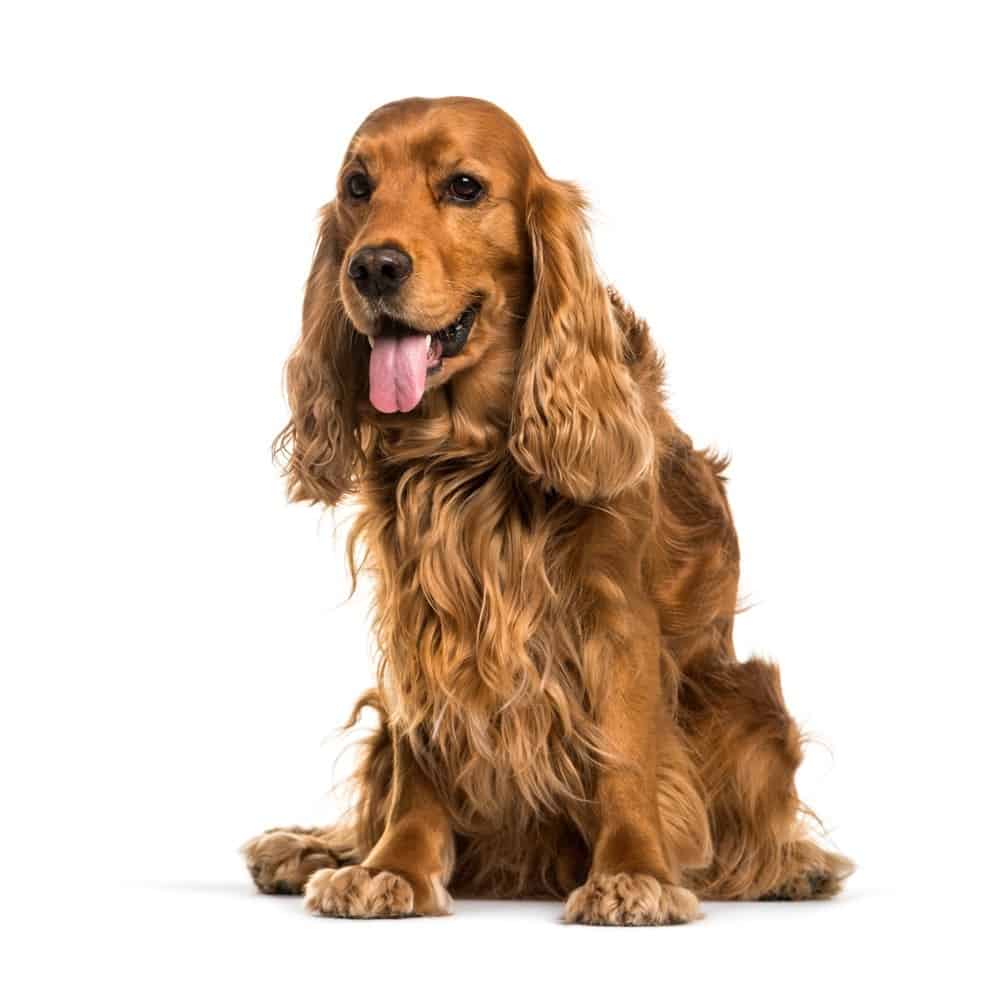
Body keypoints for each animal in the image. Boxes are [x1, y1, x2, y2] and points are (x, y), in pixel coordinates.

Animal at [242, 98, 852, 924]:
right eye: (357, 186)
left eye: (465, 187)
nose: (372, 267)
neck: (470, 452)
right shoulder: (420, 614)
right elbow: (419, 758)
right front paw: (394, 867)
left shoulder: (615, 614)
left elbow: (624, 755)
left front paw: (634, 874)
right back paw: (309, 849)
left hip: (745, 701)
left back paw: (794, 866)